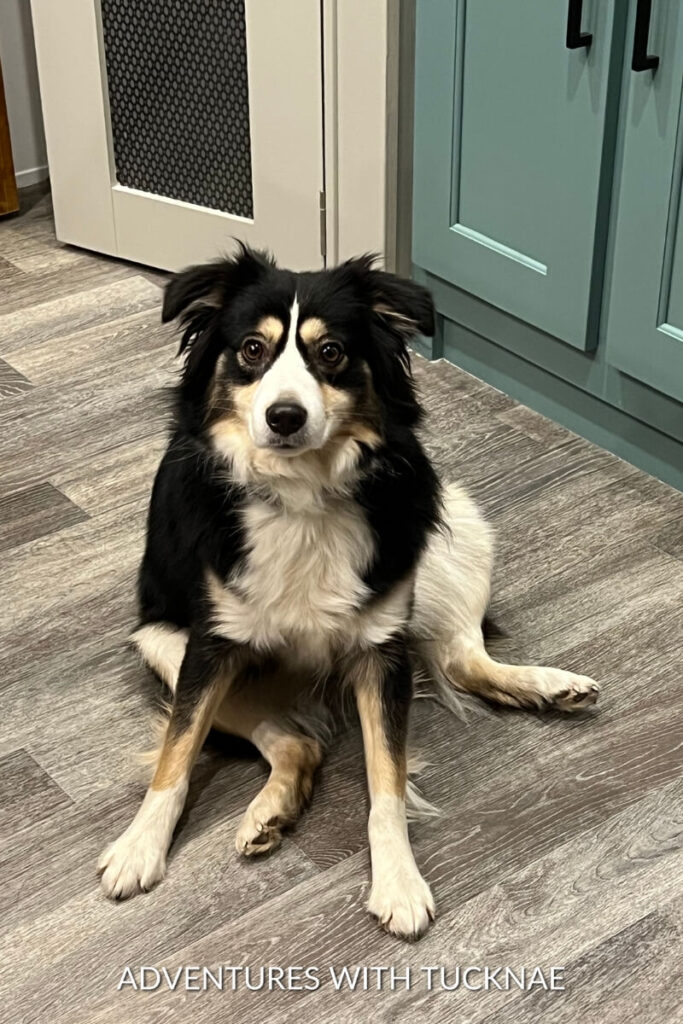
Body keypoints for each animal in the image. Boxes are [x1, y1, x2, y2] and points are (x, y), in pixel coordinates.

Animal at [96, 245, 598, 937]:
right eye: (251, 348)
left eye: (331, 351)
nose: (285, 416)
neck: (301, 494)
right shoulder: (210, 642)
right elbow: (177, 751)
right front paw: (139, 845)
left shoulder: (381, 648)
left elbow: (387, 781)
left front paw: (398, 880)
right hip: (162, 643)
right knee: (298, 739)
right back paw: (270, 811)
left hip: (457, 531)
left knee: (460, 656)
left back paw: (548, 685)